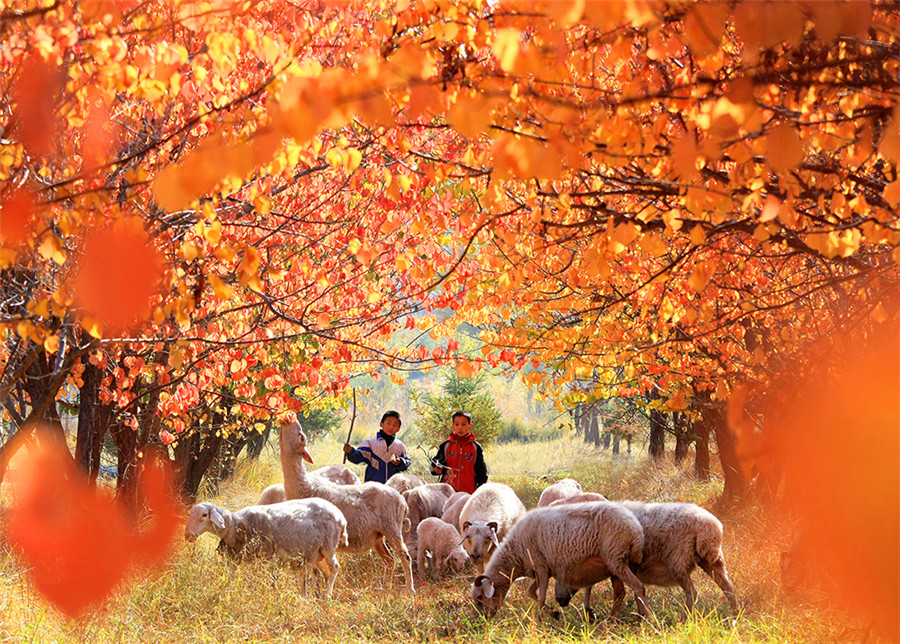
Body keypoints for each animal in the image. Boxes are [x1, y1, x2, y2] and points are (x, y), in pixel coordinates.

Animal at [185, 498, 346, 600]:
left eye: (204, 515)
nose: (188, 536)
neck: (237, 525)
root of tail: (340, 515)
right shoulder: (236, 558)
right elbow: (230, 577)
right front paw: (225, 593)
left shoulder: (269, 558)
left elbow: (271, 581)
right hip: (315, 553)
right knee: (321, 573)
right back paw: (311, 596)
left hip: (328, 547)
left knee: (334, 568)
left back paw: (327, 597)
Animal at [278, 418, 414, 592]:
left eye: (302, 437)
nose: (290, 418)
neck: (303, 485)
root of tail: (402, 501)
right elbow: (312, 572)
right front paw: (309, 592)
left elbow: (317, 571)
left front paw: (318, 593)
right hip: (377, 536)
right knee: (389, 560)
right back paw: (385, 588)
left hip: (392, 528)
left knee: (405, 557)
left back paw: (409, 590)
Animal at [468, 504, 652, 620]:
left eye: (479, 597)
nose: (482, 621)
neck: (515, 553)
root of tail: (636, 530)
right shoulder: (542, 571)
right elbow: (531, 592)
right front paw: (553, 613)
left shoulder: (541, 567)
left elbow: (540, 597)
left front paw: (539, 621)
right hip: (615, 566)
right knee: (620, 593)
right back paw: (612, 620)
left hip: (616, 560)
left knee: (638, 587)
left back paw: (645, 618)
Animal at [556, 500, 740, 616]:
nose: (559, 600)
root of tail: (709, 526)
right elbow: (633, 593)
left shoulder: (617, 566)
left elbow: (620, 593)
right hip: (713, 561)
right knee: (729, 588)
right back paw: (735, 617)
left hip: (678, 562)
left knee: (692, 593)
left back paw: (684, 620)